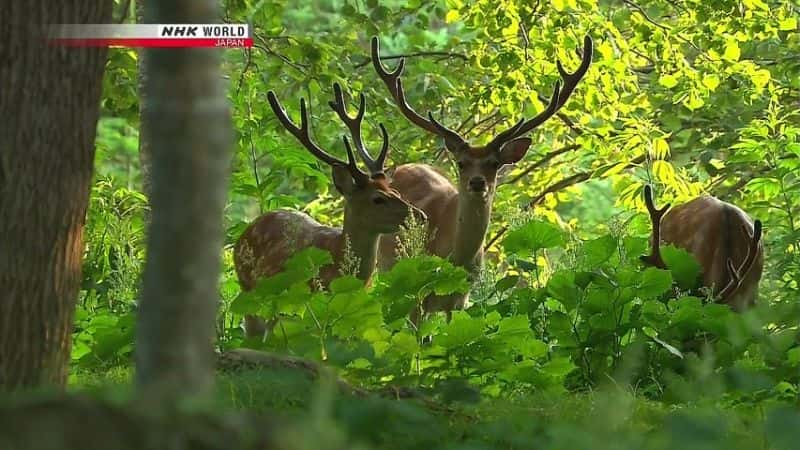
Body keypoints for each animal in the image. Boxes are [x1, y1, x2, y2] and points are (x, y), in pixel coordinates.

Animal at [370, 36, 592, 324]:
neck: (453, 256)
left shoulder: (461, 298)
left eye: (494, 163)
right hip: (390, 272)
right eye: (461, 162)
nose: (477, 183)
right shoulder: (416, 290)